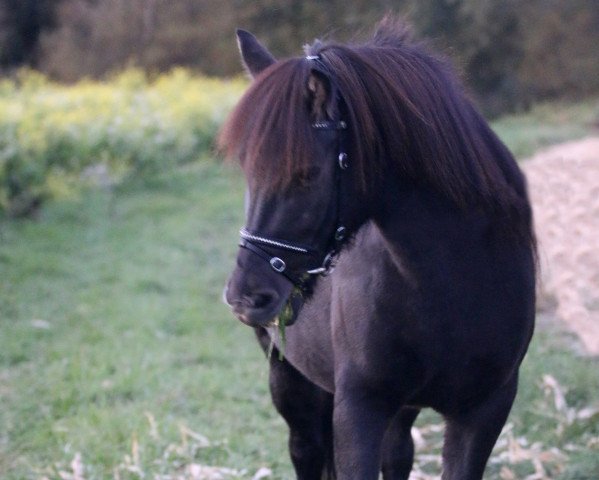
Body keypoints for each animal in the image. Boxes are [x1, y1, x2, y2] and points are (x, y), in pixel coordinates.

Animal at [219, 18, 536, 480]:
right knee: (306, 449)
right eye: (248, 170)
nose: (245, 296)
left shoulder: (483, 410)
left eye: (307, 174)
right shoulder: (360, 408)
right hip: (289, 377)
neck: (455, 283)